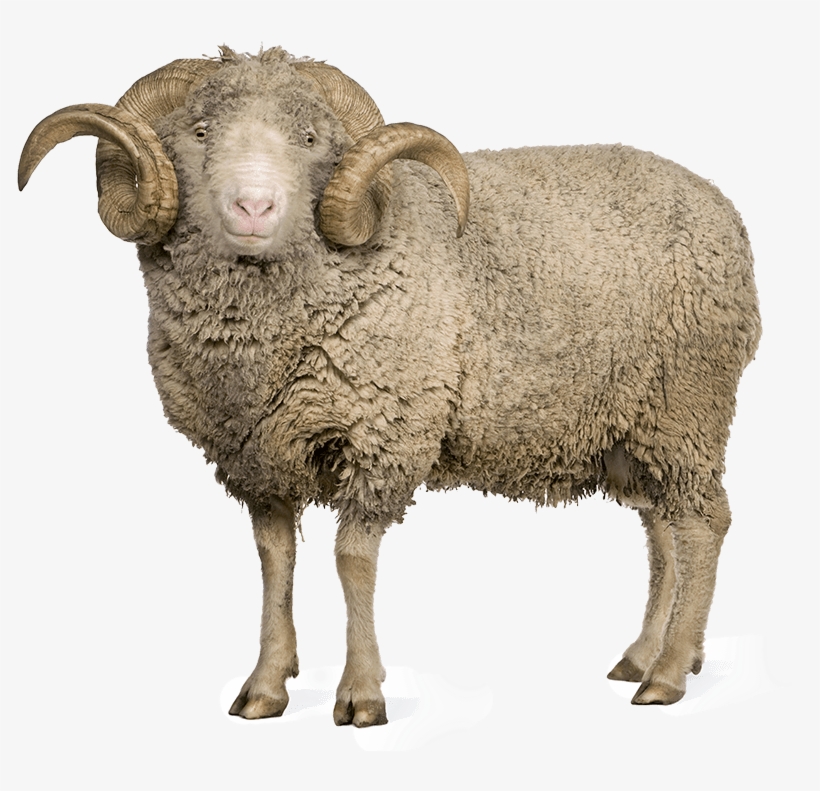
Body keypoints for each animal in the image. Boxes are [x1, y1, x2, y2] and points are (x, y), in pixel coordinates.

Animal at [19, 45, 761, 728]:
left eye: (310, 139)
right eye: (199, 132)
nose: (253, 206)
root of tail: (721, 208)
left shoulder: (385, 431)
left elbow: (352, 561)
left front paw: (361, 694)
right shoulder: (257, 455)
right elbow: (274, 561)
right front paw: (265, 684)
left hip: (686, 403)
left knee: (703, 524)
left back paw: (667, 673)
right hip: (630, 426)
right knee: (662, 527)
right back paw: (645, 653)